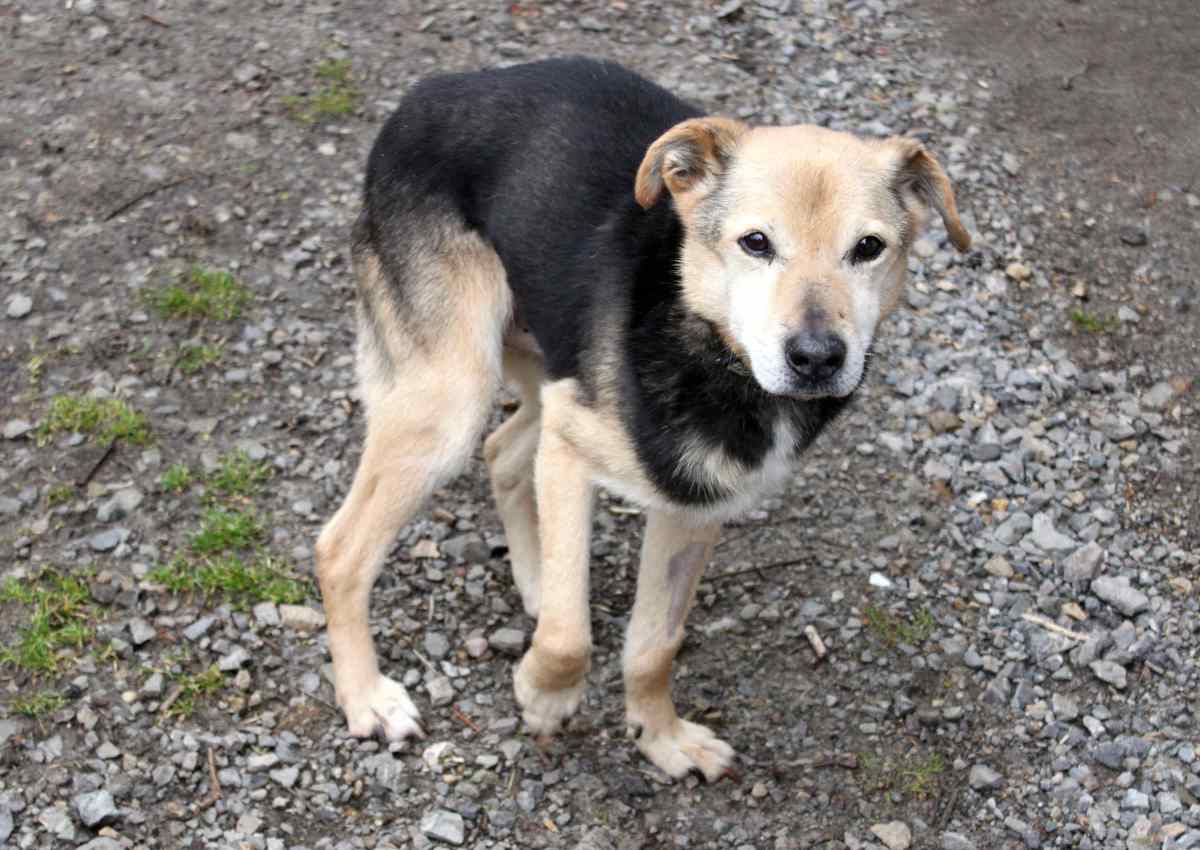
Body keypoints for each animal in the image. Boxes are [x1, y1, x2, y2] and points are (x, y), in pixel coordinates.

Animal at [314, 56, 969, 777]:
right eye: (756, 242)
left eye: (869, 248)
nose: (818, 358)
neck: (707, 347)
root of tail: (429, 92)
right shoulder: (572, 455)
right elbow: (570, 639)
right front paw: (544, 694)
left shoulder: (695, 505)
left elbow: (656, 645)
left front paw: (661, 736)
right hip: (452, 395)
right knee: (341, 549)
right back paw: (367, 697)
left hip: (546, 373)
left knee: (504, 453)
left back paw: (537, 579)